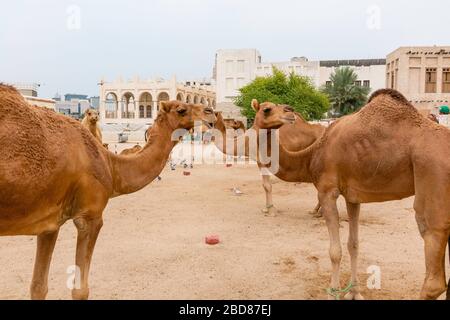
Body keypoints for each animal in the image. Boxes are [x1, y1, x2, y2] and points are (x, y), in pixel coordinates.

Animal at [0, 84, 216, 300]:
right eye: (181, 109)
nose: (211, 112)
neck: (111, 166)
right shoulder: (90, 216)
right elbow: (80, 290)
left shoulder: (50, 222)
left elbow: (38, 287)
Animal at [250, 90, 450, 300]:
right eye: (268, 108)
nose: (289, 110)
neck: (312, 155)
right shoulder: (353, 196)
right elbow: (353, 245)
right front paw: (354, 292)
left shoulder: (327, 191)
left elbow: (335, 251)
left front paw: (333, 293)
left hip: (433, 186)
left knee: (434, 279)